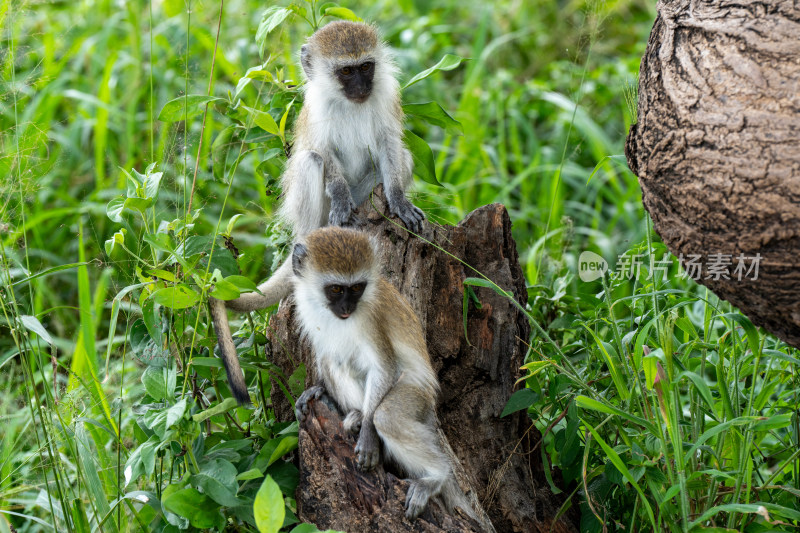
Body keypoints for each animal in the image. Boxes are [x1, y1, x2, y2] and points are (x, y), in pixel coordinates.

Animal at [211, 21, 424, 404]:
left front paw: (399, 201)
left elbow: (389, 144)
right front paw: (339, 198)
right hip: (309, 215)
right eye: (346, 72)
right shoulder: (316, 111)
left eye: (366, 67)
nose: (362, 88)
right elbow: (322, 151)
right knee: (310, 161)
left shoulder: (386, 98)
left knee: (402, 154)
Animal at [290, 225, 472, 520]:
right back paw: (352, 414)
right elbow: (326, 353)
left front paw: (367, 436)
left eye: (356, 288)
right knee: (334, 360)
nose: (347, 309)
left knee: (387, 416)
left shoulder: (370, 317)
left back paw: (434, 476)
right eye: (336, 289)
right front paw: (318, 390)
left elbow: (383, 366)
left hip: (418, 395)